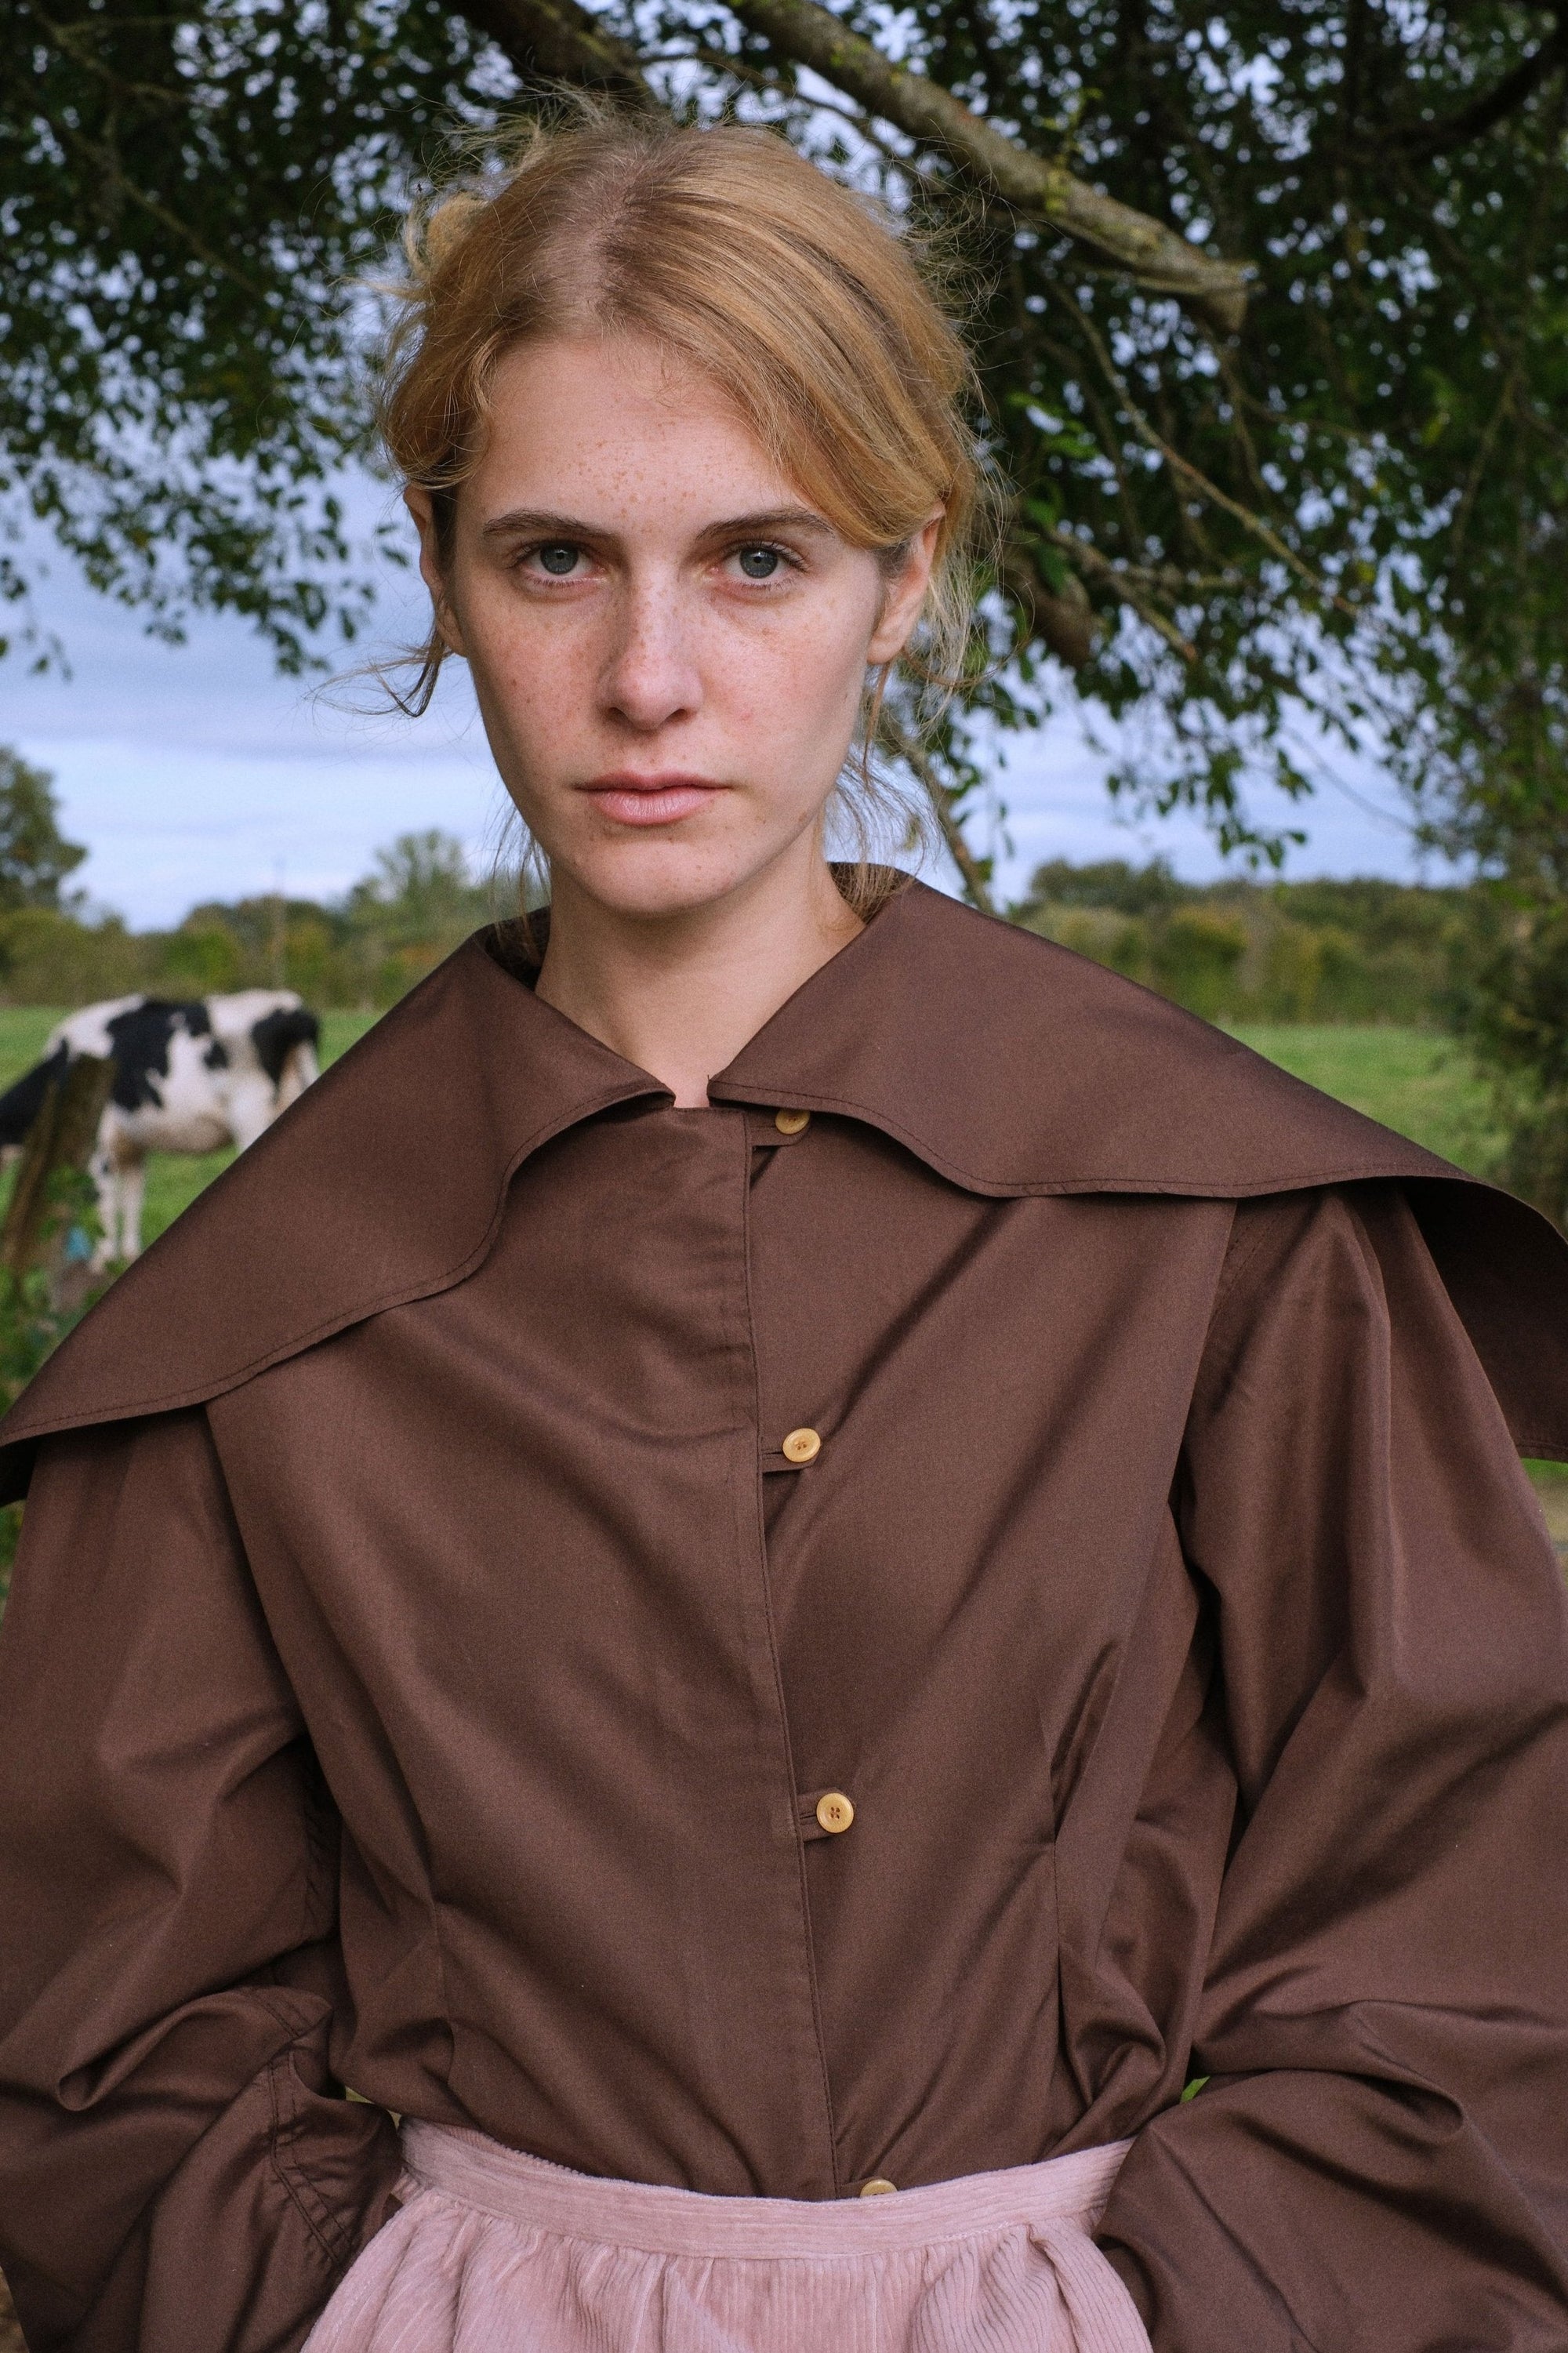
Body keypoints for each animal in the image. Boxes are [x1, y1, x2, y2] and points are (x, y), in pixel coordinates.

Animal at [0, 988, 320, 1261]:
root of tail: (289, 1006)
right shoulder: (133, 1148)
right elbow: (132, 1201)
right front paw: (129, 1255)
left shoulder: (99, 1144)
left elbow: (104, 1203)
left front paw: (102, 1260)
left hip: (249, 1116)